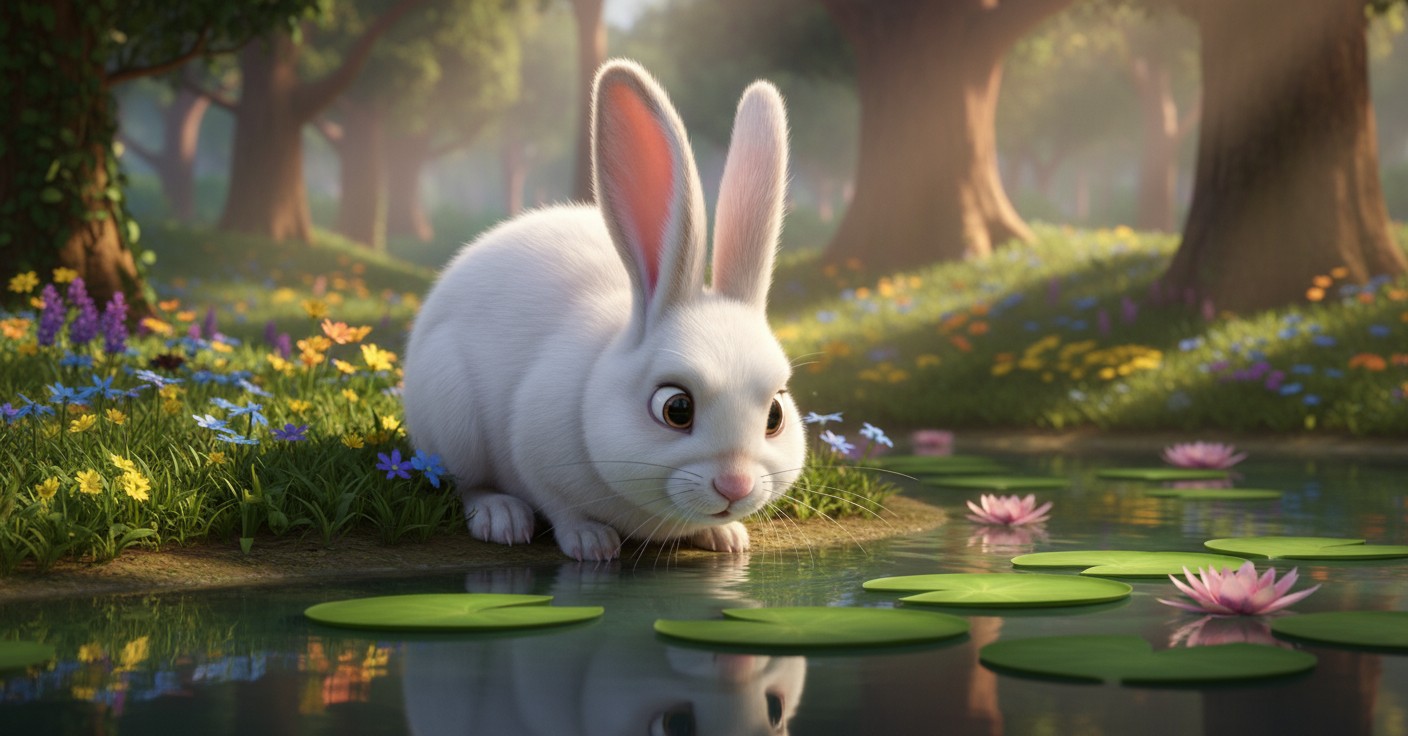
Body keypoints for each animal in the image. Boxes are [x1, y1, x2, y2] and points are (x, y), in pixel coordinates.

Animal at [401, 59, 807, 561]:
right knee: (465, 483)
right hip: (451, 421)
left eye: (775, 415)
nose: (736, 485)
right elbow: (559, 506)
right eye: (676, 408)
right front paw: (591, 543)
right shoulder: (534, 453)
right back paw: (501, 516)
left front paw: (728, 538)